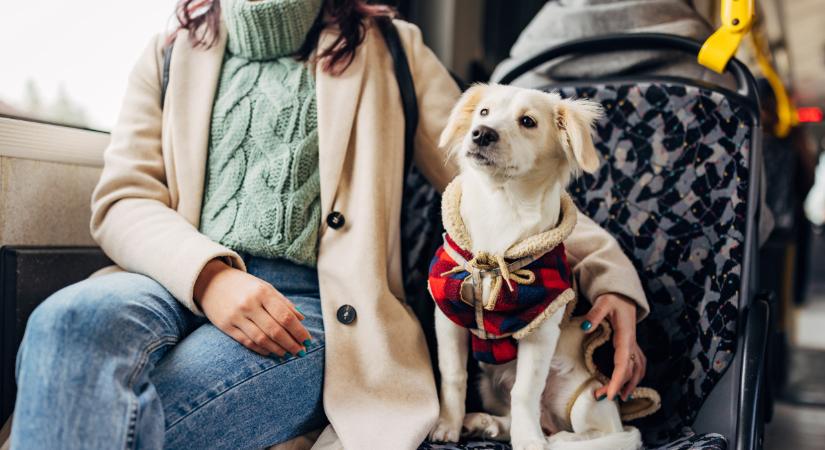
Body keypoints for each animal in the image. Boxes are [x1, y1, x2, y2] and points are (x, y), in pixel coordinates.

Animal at [424, 84, 644, 450]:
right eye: (483, 112)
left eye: (528, 121)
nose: (481, 132)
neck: (501, 208)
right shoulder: (448, 317)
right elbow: (453, 376)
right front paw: (447, 426)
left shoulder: (540, 329)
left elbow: (525, 392)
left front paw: (528, 441)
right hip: (490, 384)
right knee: (516, 415)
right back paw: (485, 423)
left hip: (587, 396)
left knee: (598, 433)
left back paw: (555, 438)